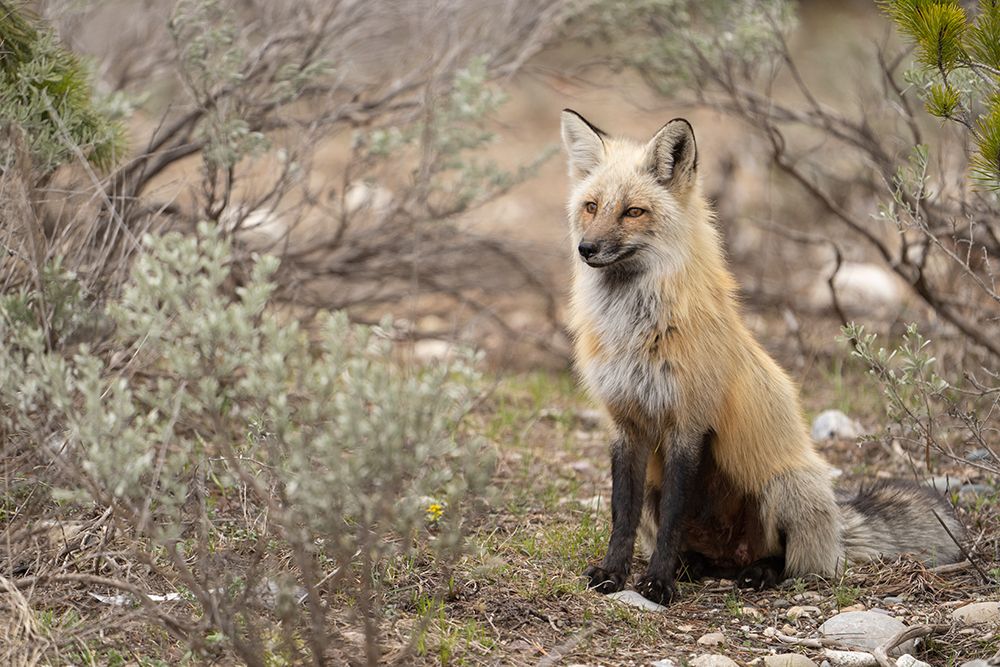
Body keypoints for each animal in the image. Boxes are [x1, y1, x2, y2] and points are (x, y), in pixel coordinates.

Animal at [559, 109, 965, 605]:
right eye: (591, 206)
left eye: (633, 211)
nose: (587, 249)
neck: (636, 331)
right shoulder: (625, 424)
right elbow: (622, 515)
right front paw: (614, 573)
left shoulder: (688, 425)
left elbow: (674, 516)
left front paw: (657, 583)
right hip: (673, 496)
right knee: (699, 551)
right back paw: (692, 566)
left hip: (784, 488)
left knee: (790, 561)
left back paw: (757, 572)